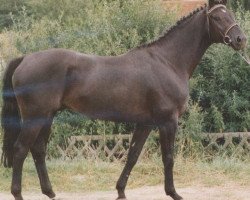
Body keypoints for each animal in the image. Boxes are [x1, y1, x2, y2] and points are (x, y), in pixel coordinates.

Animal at [0, 0, 246, 200]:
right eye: (217, 17)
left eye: (231, 14)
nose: (240, 39)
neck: (167, 61)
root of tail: (25, 59)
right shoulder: (168, 121)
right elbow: (168, 157)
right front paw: (173, 193)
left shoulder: (145, 123)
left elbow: (132, 155)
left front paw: (120, 191)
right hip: (35, 117)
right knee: (21, 149)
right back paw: (18, 193)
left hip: (47, 116)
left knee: (38, 150)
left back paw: (50, 192)